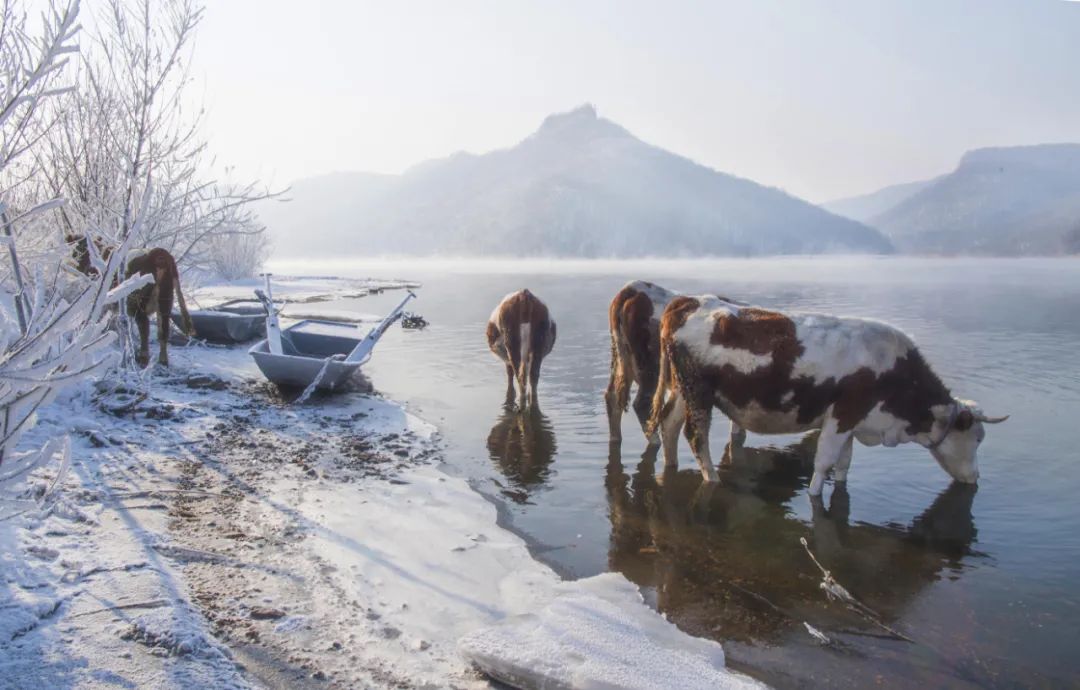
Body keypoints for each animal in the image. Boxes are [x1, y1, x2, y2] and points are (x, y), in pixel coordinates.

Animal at [604, 280, 678, 449]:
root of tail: (632, 288)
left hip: (620, 358)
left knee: (612, 397)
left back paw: (615, 439)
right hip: (650, 366)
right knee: (642, 404)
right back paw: (655, 441)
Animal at [643, 298, 1006, 496]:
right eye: (977, 438)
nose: (975, 479)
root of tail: (688, 301)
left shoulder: (851, 423)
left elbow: (843, 463)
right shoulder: (843, 414)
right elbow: (824, 463)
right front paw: (816, 497)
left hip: (683, 390)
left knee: (669, 425)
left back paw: (671, 466)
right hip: (698, 392)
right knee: (695, 435)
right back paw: (713, 479)